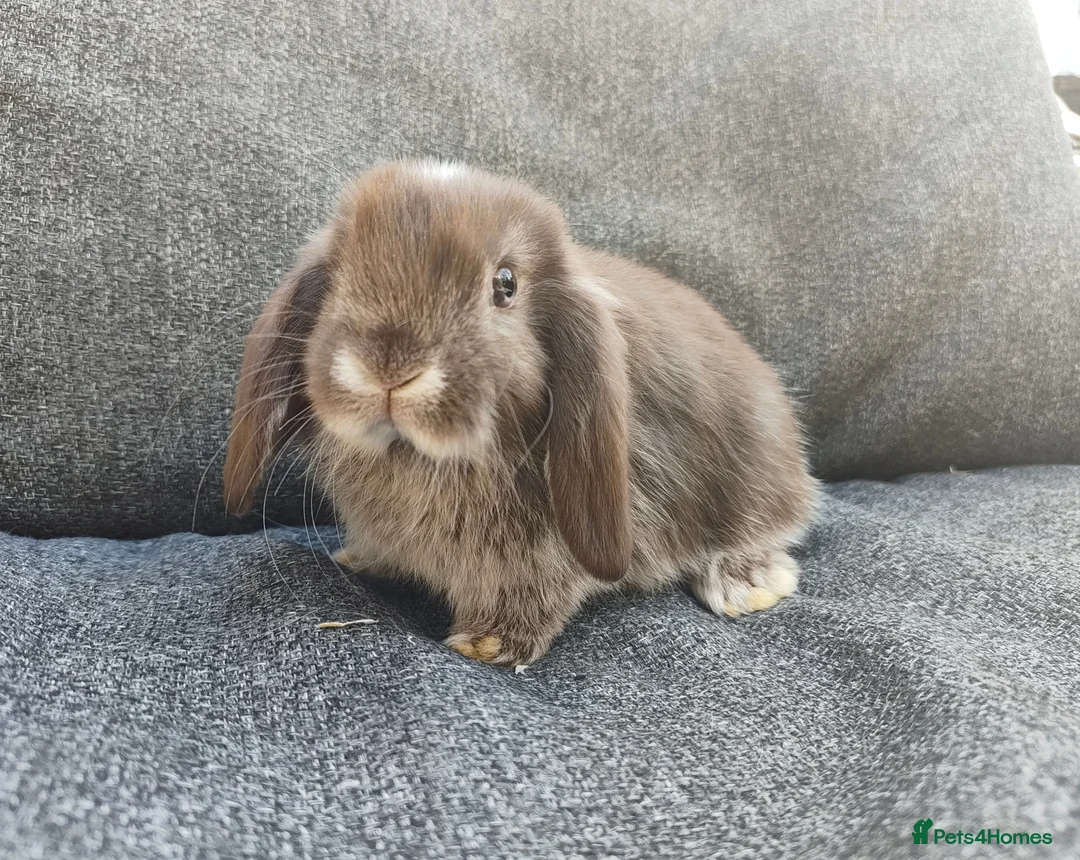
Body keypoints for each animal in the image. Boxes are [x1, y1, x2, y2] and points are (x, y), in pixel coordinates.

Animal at [223, 160, 818, 666]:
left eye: (504, 285)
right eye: (341, 274)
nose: (388, 368)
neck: (417, 456)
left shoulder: (545, 552)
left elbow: (533, 592)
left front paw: (485, 644)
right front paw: (359, 559)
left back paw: (749, 584)